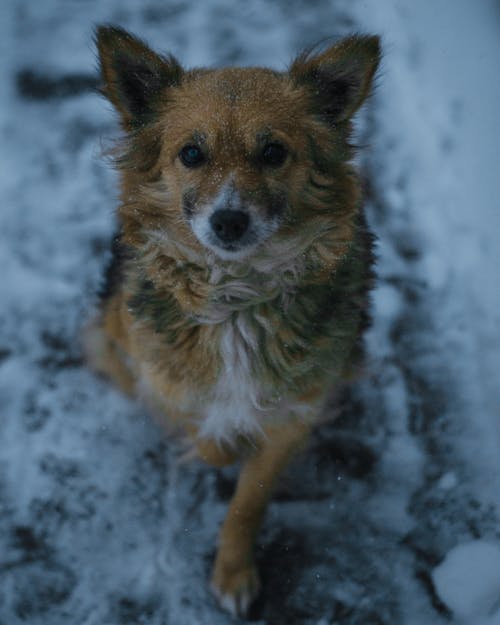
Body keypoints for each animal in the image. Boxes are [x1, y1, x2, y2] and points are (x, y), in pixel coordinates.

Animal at [85, 24, 378, 616]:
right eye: (191, 153)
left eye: (273, 152)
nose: (229, 221)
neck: (238, 297)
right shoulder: (161, 376)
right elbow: (210, 435)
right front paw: (216, 443)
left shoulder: (298, 408)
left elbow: (249, 498)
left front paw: (234, 572)